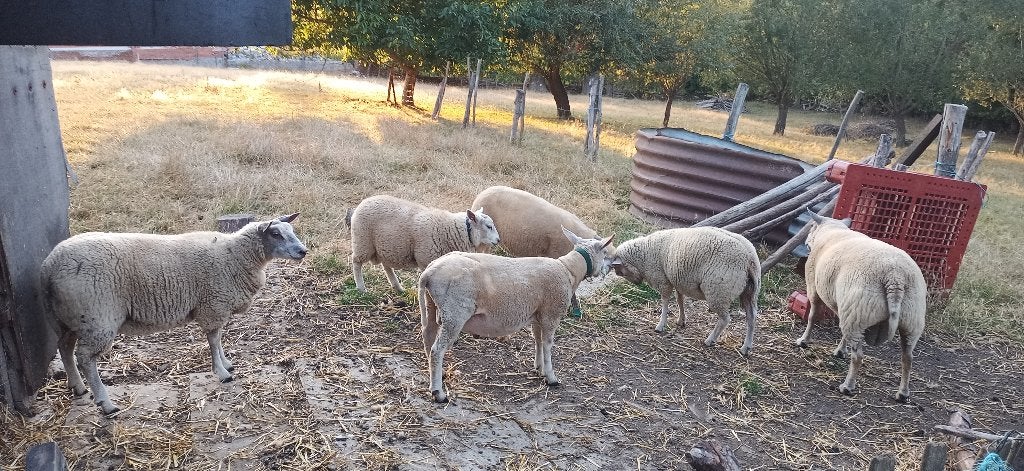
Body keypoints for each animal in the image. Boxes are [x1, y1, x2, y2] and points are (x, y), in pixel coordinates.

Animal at [40, 214, 308, 415]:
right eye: (276, 234)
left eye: (291, 230)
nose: (303, 251)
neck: (236, 255)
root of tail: (49, 266)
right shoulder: (213, 305)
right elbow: (213, 340)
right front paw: (222, 372)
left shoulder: (216, 307)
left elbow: (219, 338)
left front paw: (226, 363)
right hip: (97, 317)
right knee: (85, 358)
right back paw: (105, 403)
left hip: (69, 318)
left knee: (65, 348)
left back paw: (78, 387)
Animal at [346, 195, 500, 293]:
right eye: (488, 226)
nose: (498, 240)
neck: (452, 230)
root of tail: (362, 203)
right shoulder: (425, 258)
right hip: (363, 241)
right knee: (356, 262)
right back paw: (361, 287)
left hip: (386, 246)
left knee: (386, 266)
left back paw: (398, 287)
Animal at [418, 227, 614, 403]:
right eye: (604, 253)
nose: (610, 267)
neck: (569, 269)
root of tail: (429, 272)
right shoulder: (551, 313)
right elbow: (548, 344)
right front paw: (551, 377)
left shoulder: (537, 313)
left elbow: (538, 340)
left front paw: (539, 368)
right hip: (455, 312)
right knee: (437, 349)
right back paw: (438, 393)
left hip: (432, 306)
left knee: (428, 337)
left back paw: (438, 374)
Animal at [610, 227, 760, 356]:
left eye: (620, 271)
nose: (637, 283)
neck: (643, 255)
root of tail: (749, 259)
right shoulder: (678, 280)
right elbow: (680, 300)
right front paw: (681, 320)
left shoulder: (663, 280)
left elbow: (665, 302)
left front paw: (661, 324)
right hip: (750, 292)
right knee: (751, 317)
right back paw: (746, 347)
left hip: (718, 290)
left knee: (725, 319)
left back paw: (710, 340)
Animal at [797, 212, 926, 401]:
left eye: (812, 226)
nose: (805, 242)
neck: (832, 230)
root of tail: (895, 277)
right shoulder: (843, 305)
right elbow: (842, 331)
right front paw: (840, 350)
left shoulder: (814, 286)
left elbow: (812, 316)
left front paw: (804, 341)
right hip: (910, 319)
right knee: (907, 358)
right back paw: (902, 393)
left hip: (859, 311)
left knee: (858, 356)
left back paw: (847, 386)